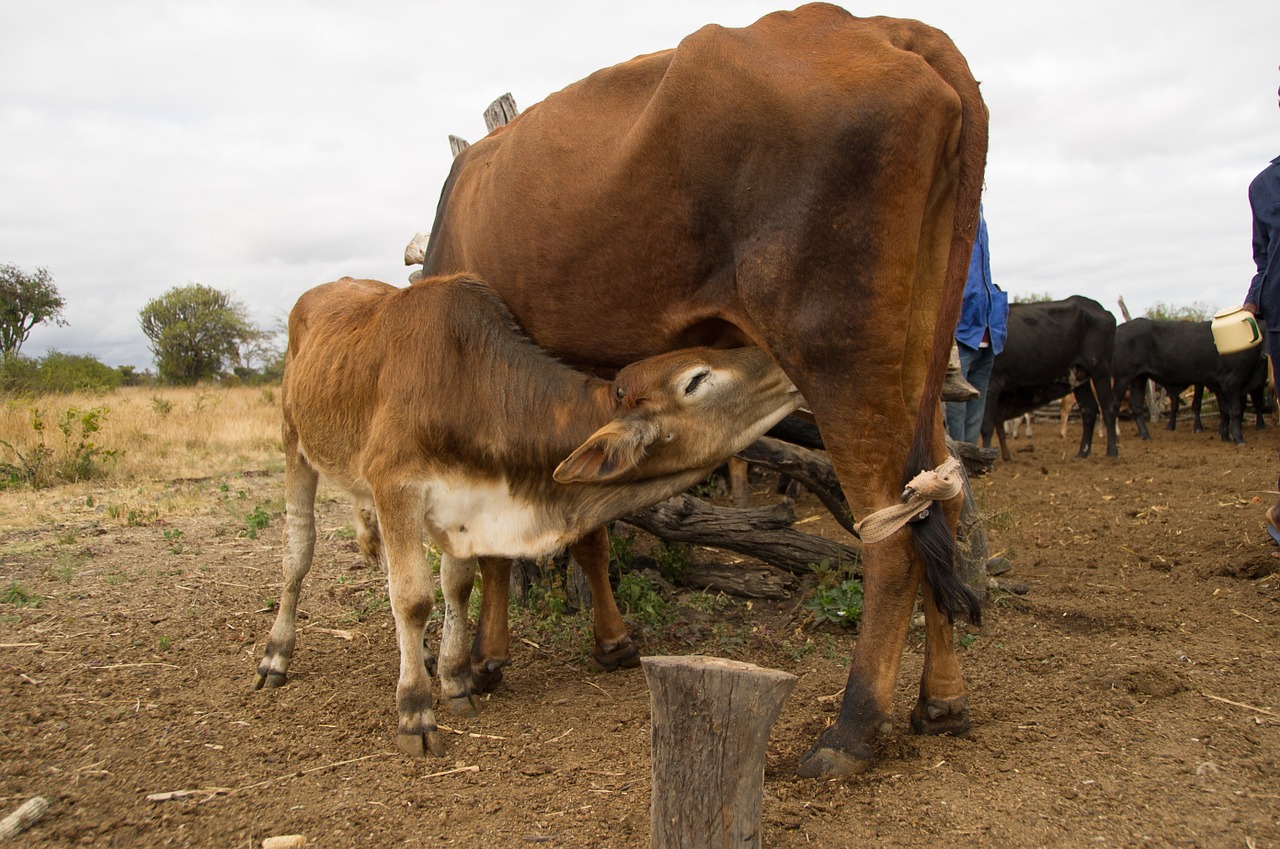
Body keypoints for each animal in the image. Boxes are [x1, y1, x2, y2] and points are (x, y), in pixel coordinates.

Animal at [252, 274, 798, 758]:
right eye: (697, 379)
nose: (784, 364)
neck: (473, 389)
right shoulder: (396, 487)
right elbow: (412, 598)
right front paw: (415, 709)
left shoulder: (460, 510)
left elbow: (457, 588)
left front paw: (455, 680)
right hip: (293, 443)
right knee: (298, 552)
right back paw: (277, 653)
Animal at [422, 4, 988, 778]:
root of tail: (876, 28)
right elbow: (588, 528)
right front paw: (611, 641)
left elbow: (497, 544)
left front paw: (485, 658)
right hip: (916, 350)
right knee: (943, 499)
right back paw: (943, 698)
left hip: (838, 349)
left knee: (893, 535)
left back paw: (851, 730)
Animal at [983, 297, 1116, 460]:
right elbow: (997, 424)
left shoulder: (992, 384)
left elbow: (987, 425)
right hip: (1080, 375)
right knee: (1089, 410)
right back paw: (1082, 453)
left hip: (1100, 370)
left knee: (1108, 407)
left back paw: (1112, 451)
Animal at [1111, 318, 1269, 445]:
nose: (1265, 354)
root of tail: (1120, 328)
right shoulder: (1231, 382)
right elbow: (1235, 410)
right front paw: (1239, 439)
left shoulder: (1221, 385)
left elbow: (1225, 410)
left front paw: (1225, 437)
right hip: (1122, 377)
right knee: (1114, 404)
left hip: (1139, 377)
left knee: (1136, 404)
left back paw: (1146, 435)